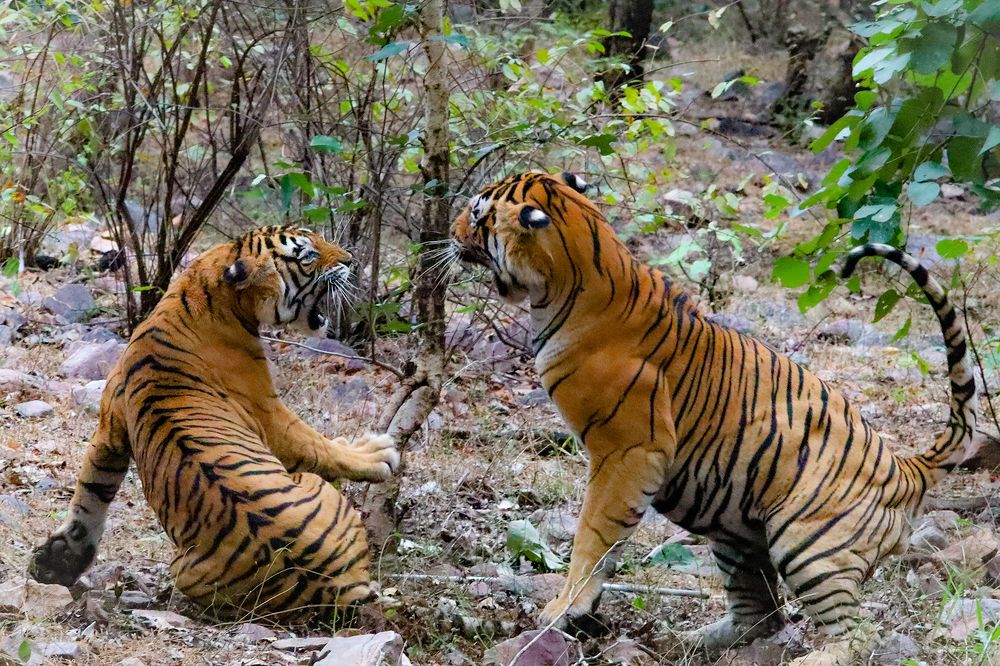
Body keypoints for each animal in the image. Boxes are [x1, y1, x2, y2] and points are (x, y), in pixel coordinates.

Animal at [30, 226, 400, 618]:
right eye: (308, 255)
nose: (351, 260)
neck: (206, 283)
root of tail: (338, 587)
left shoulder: (110, 427)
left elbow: (91, 492)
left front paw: (60, 560)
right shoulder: (268, 412)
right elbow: (319, 445)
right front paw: (376, 454)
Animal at [449, 171, 977, 656]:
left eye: (477, 212)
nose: (451, 231)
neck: (572, 272)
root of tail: (906, 467)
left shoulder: (628, 452)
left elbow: (593, 533)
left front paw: (565, 609)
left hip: (807, 542)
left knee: (858, 634)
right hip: (735, 531)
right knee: (760, 615)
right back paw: (695, 640)